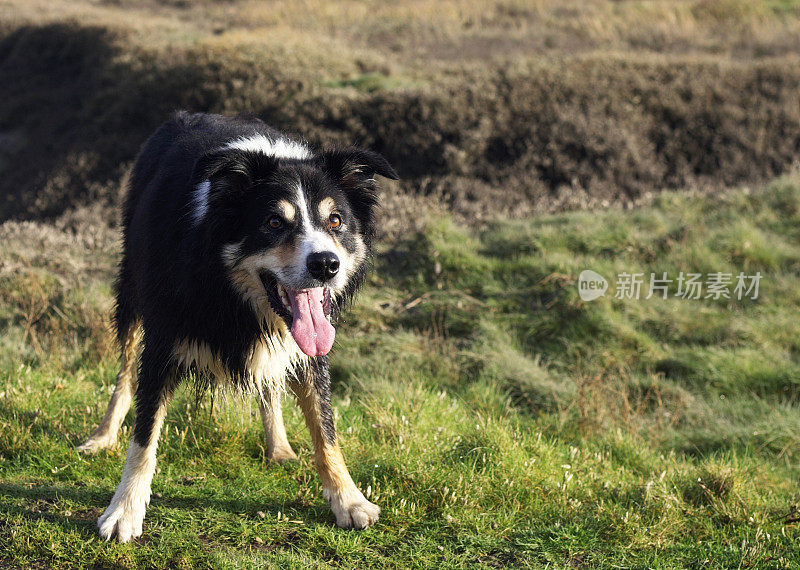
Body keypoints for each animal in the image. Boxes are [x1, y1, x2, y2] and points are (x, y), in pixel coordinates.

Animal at [78, 111, 396, 540]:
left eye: (336, 220)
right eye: (274, 222)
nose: (326, 265)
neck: (229, 288)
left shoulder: (312, 346)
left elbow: (325, 425)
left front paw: (349, 500)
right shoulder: (163, 339)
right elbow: (145, 433)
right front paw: (124, 511)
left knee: (270, 385)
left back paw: (279, 447)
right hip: (131, 287)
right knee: (125, 372)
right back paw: (102, 436)